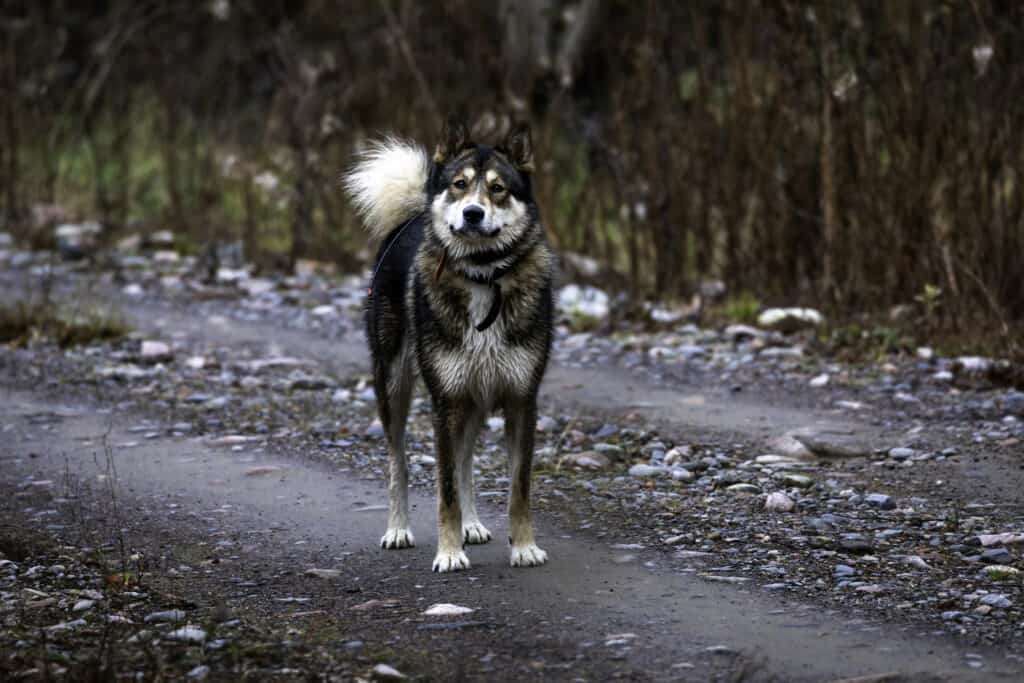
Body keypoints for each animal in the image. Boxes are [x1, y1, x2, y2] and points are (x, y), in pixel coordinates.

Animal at [342, 118, 552, 573]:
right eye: (459, 185)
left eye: (498, 188)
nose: (473, 213)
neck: (483, 277)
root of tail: (412, 216)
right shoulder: (445, 402)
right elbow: (445, 490)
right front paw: (450, 552)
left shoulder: (520, 401)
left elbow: (518, 488)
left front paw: (524, 547)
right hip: (395, 388)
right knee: (398, 462)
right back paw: (398, 529)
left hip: (473, 398)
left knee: (466, 460)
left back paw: (472, 525)